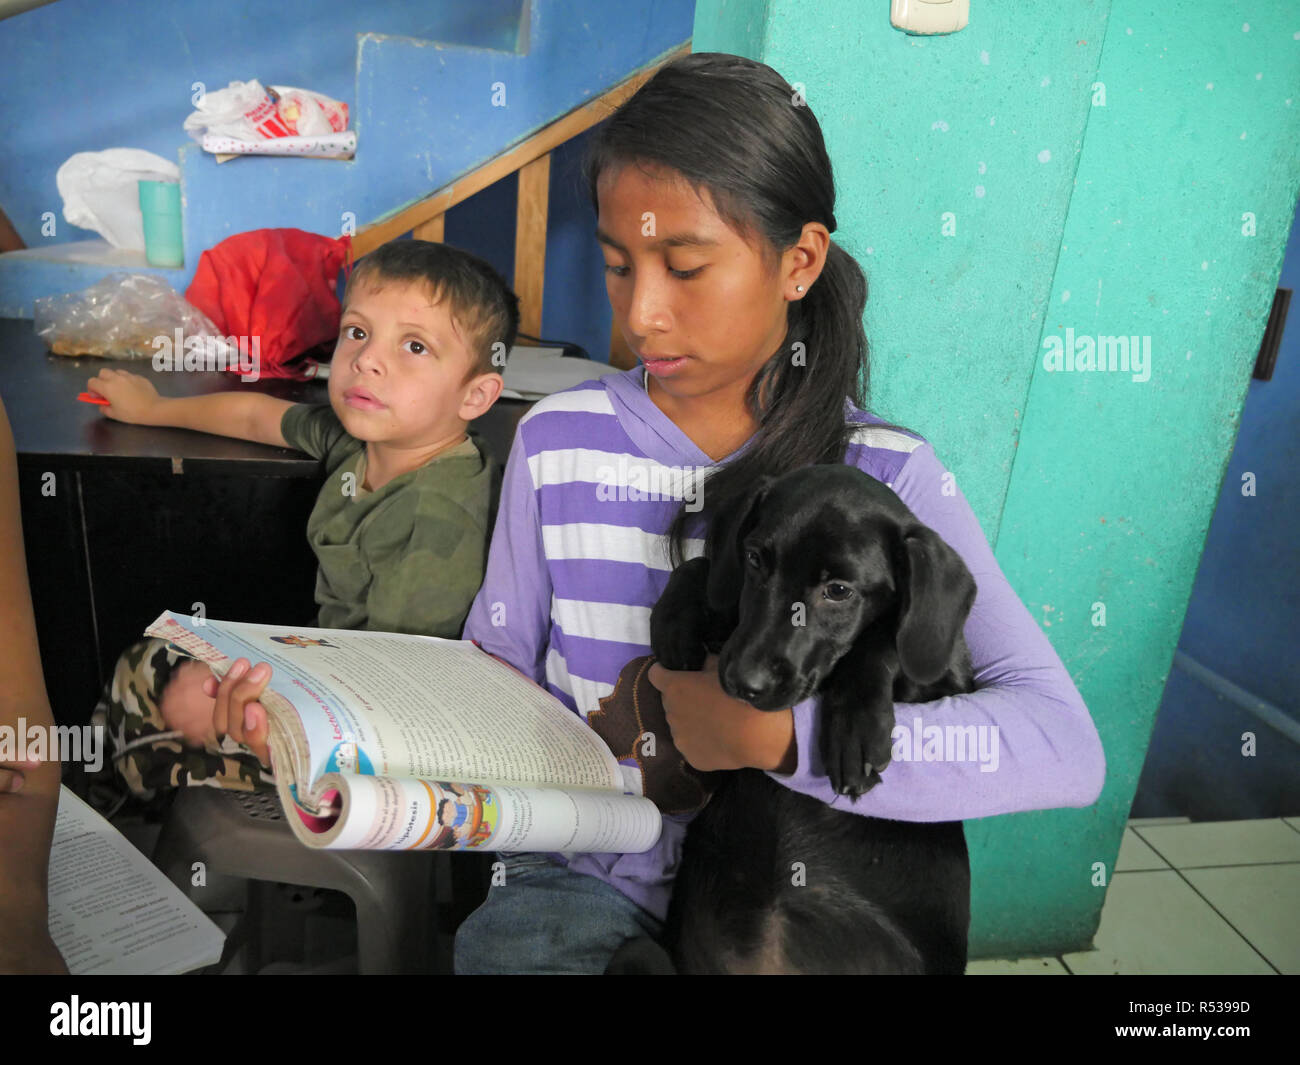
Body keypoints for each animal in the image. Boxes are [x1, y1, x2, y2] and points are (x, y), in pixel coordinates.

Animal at [608, 465, 977, 972]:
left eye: (838, 591)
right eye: (754, 558)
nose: (744, 683)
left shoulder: (949, 683)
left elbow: (883, 636)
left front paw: (854, 730)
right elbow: (703, 570)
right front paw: (675, 623)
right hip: (640, 952)